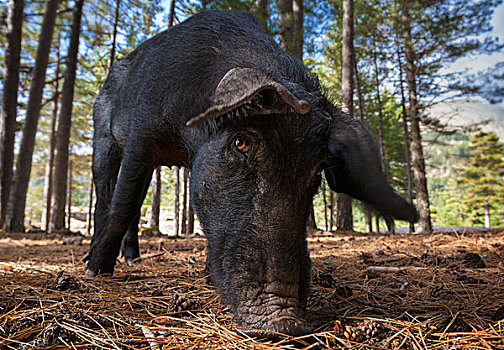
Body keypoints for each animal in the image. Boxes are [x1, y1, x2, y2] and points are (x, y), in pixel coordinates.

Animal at [86, 10, 418, 338]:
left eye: (316, 171)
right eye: (241, 142)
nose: (283, 322)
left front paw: (208, 279)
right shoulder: (141, 136)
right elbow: (122, 205)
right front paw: (96, 272)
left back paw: (134, 260)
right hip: (102, 136)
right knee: (107, 198)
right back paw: (98, 262)